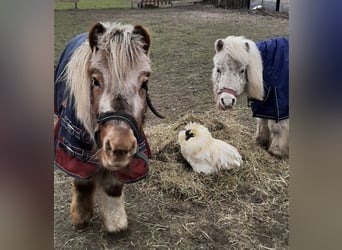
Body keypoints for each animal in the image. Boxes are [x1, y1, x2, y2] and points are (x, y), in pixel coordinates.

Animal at [54, 22, 164, 233]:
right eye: (95, 80)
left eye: (144, 83)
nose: (120, 147)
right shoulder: (75, 150)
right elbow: (82, 182)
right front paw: (81, 216)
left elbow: (114, 186)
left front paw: (115, 223)